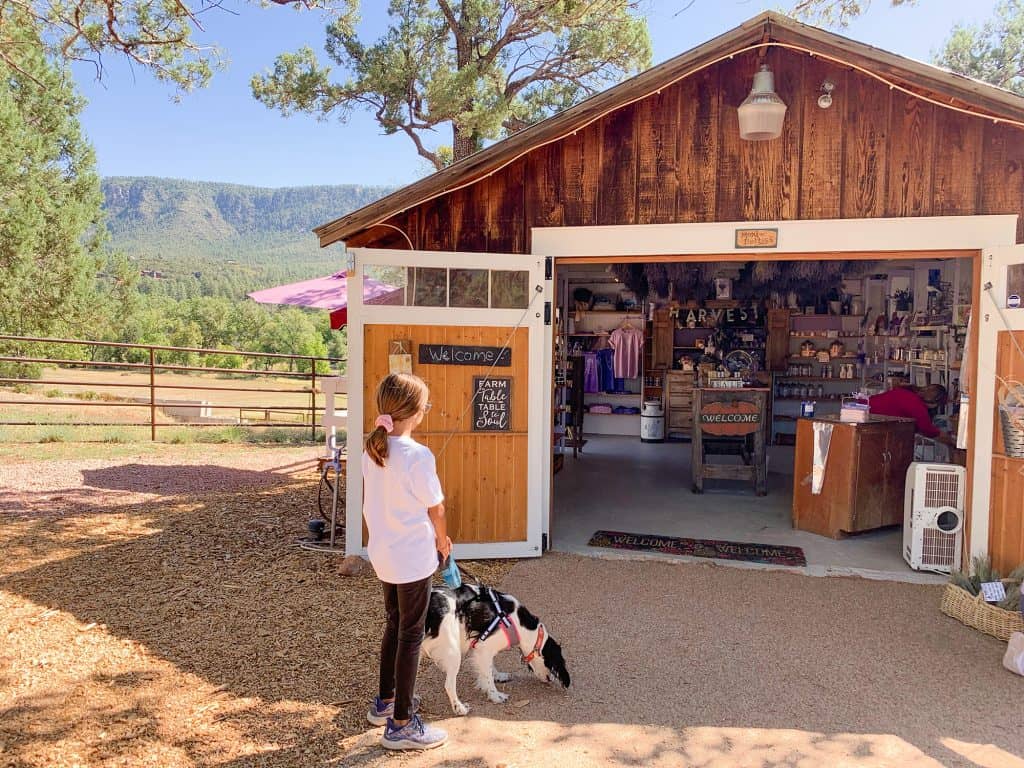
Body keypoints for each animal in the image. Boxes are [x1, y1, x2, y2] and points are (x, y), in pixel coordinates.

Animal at [419, 581, 573, 716]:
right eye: (552, 665)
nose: (551, 679)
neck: (519, 624)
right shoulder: (483, 648)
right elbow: (488, 677)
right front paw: (496, 696)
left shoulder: (482, 646)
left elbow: (490, 668)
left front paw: (499, 676)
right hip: (453, 653)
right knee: (449, 685)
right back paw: (460, 708)